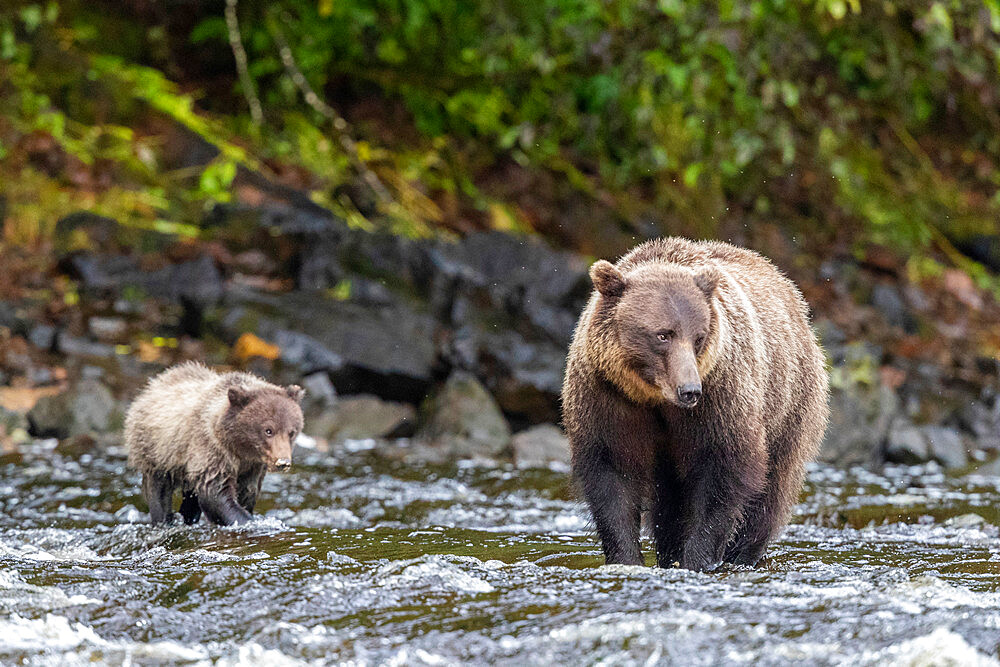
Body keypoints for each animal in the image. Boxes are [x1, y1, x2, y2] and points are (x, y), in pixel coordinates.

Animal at [564, 237, 828, 572]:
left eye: (698, 337)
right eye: (663, 335)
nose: (689, 390)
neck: (654, 398)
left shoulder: (720, 396)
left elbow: (725, 470)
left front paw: (698, 558)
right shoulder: (608, 398)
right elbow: (612, 474)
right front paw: (626, 558)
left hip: (789, 400)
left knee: (771, 488)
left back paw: (742, 553)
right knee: (671, 499)